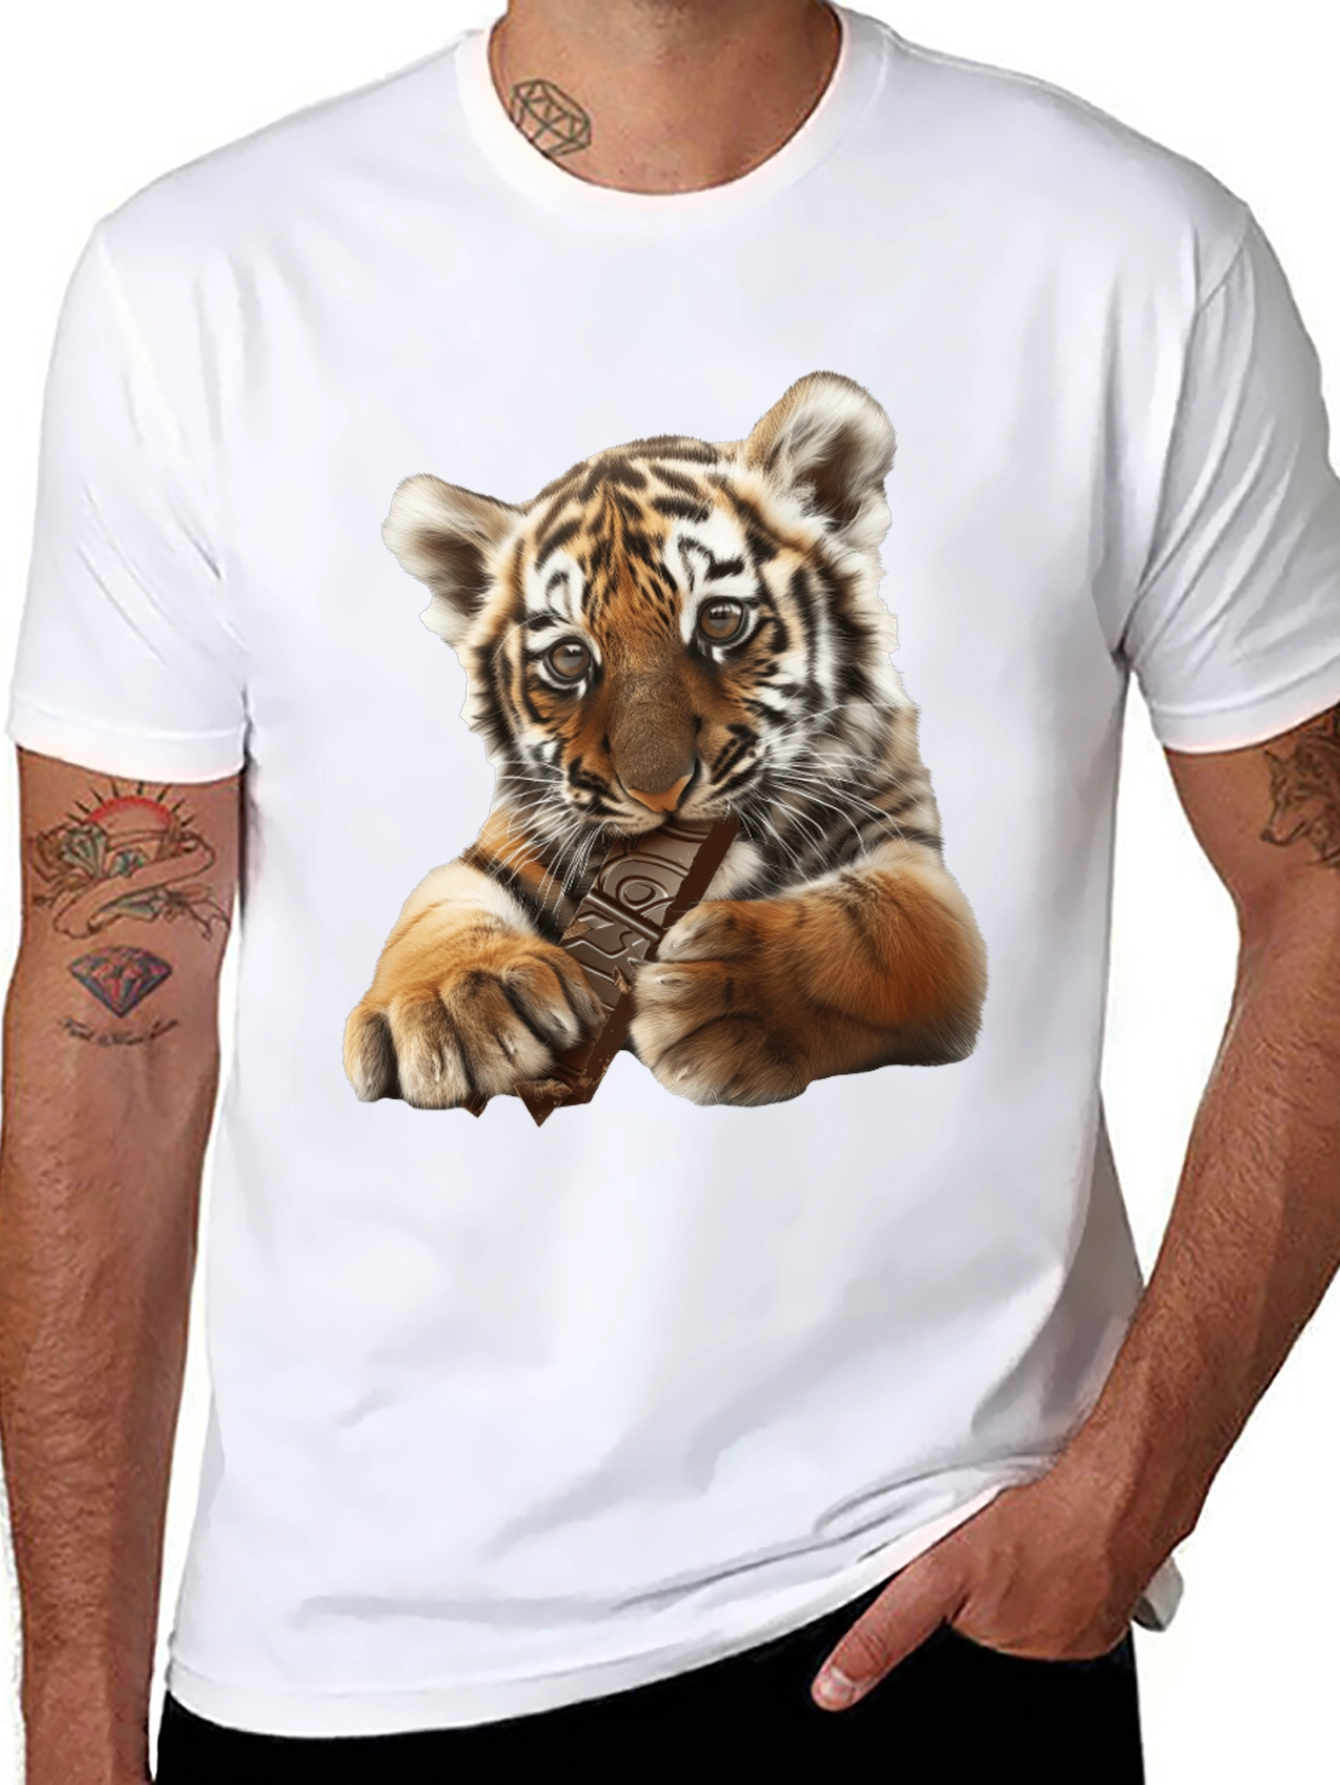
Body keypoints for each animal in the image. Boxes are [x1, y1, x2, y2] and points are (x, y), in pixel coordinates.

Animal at [343, 370, 988, 1112]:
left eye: (720, 619)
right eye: (569, 658)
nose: (660, 790)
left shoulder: (916, 860)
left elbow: (880, 927)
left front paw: (724, 996)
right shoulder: (503, 847)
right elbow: (436, 908)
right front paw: (452, 1003)